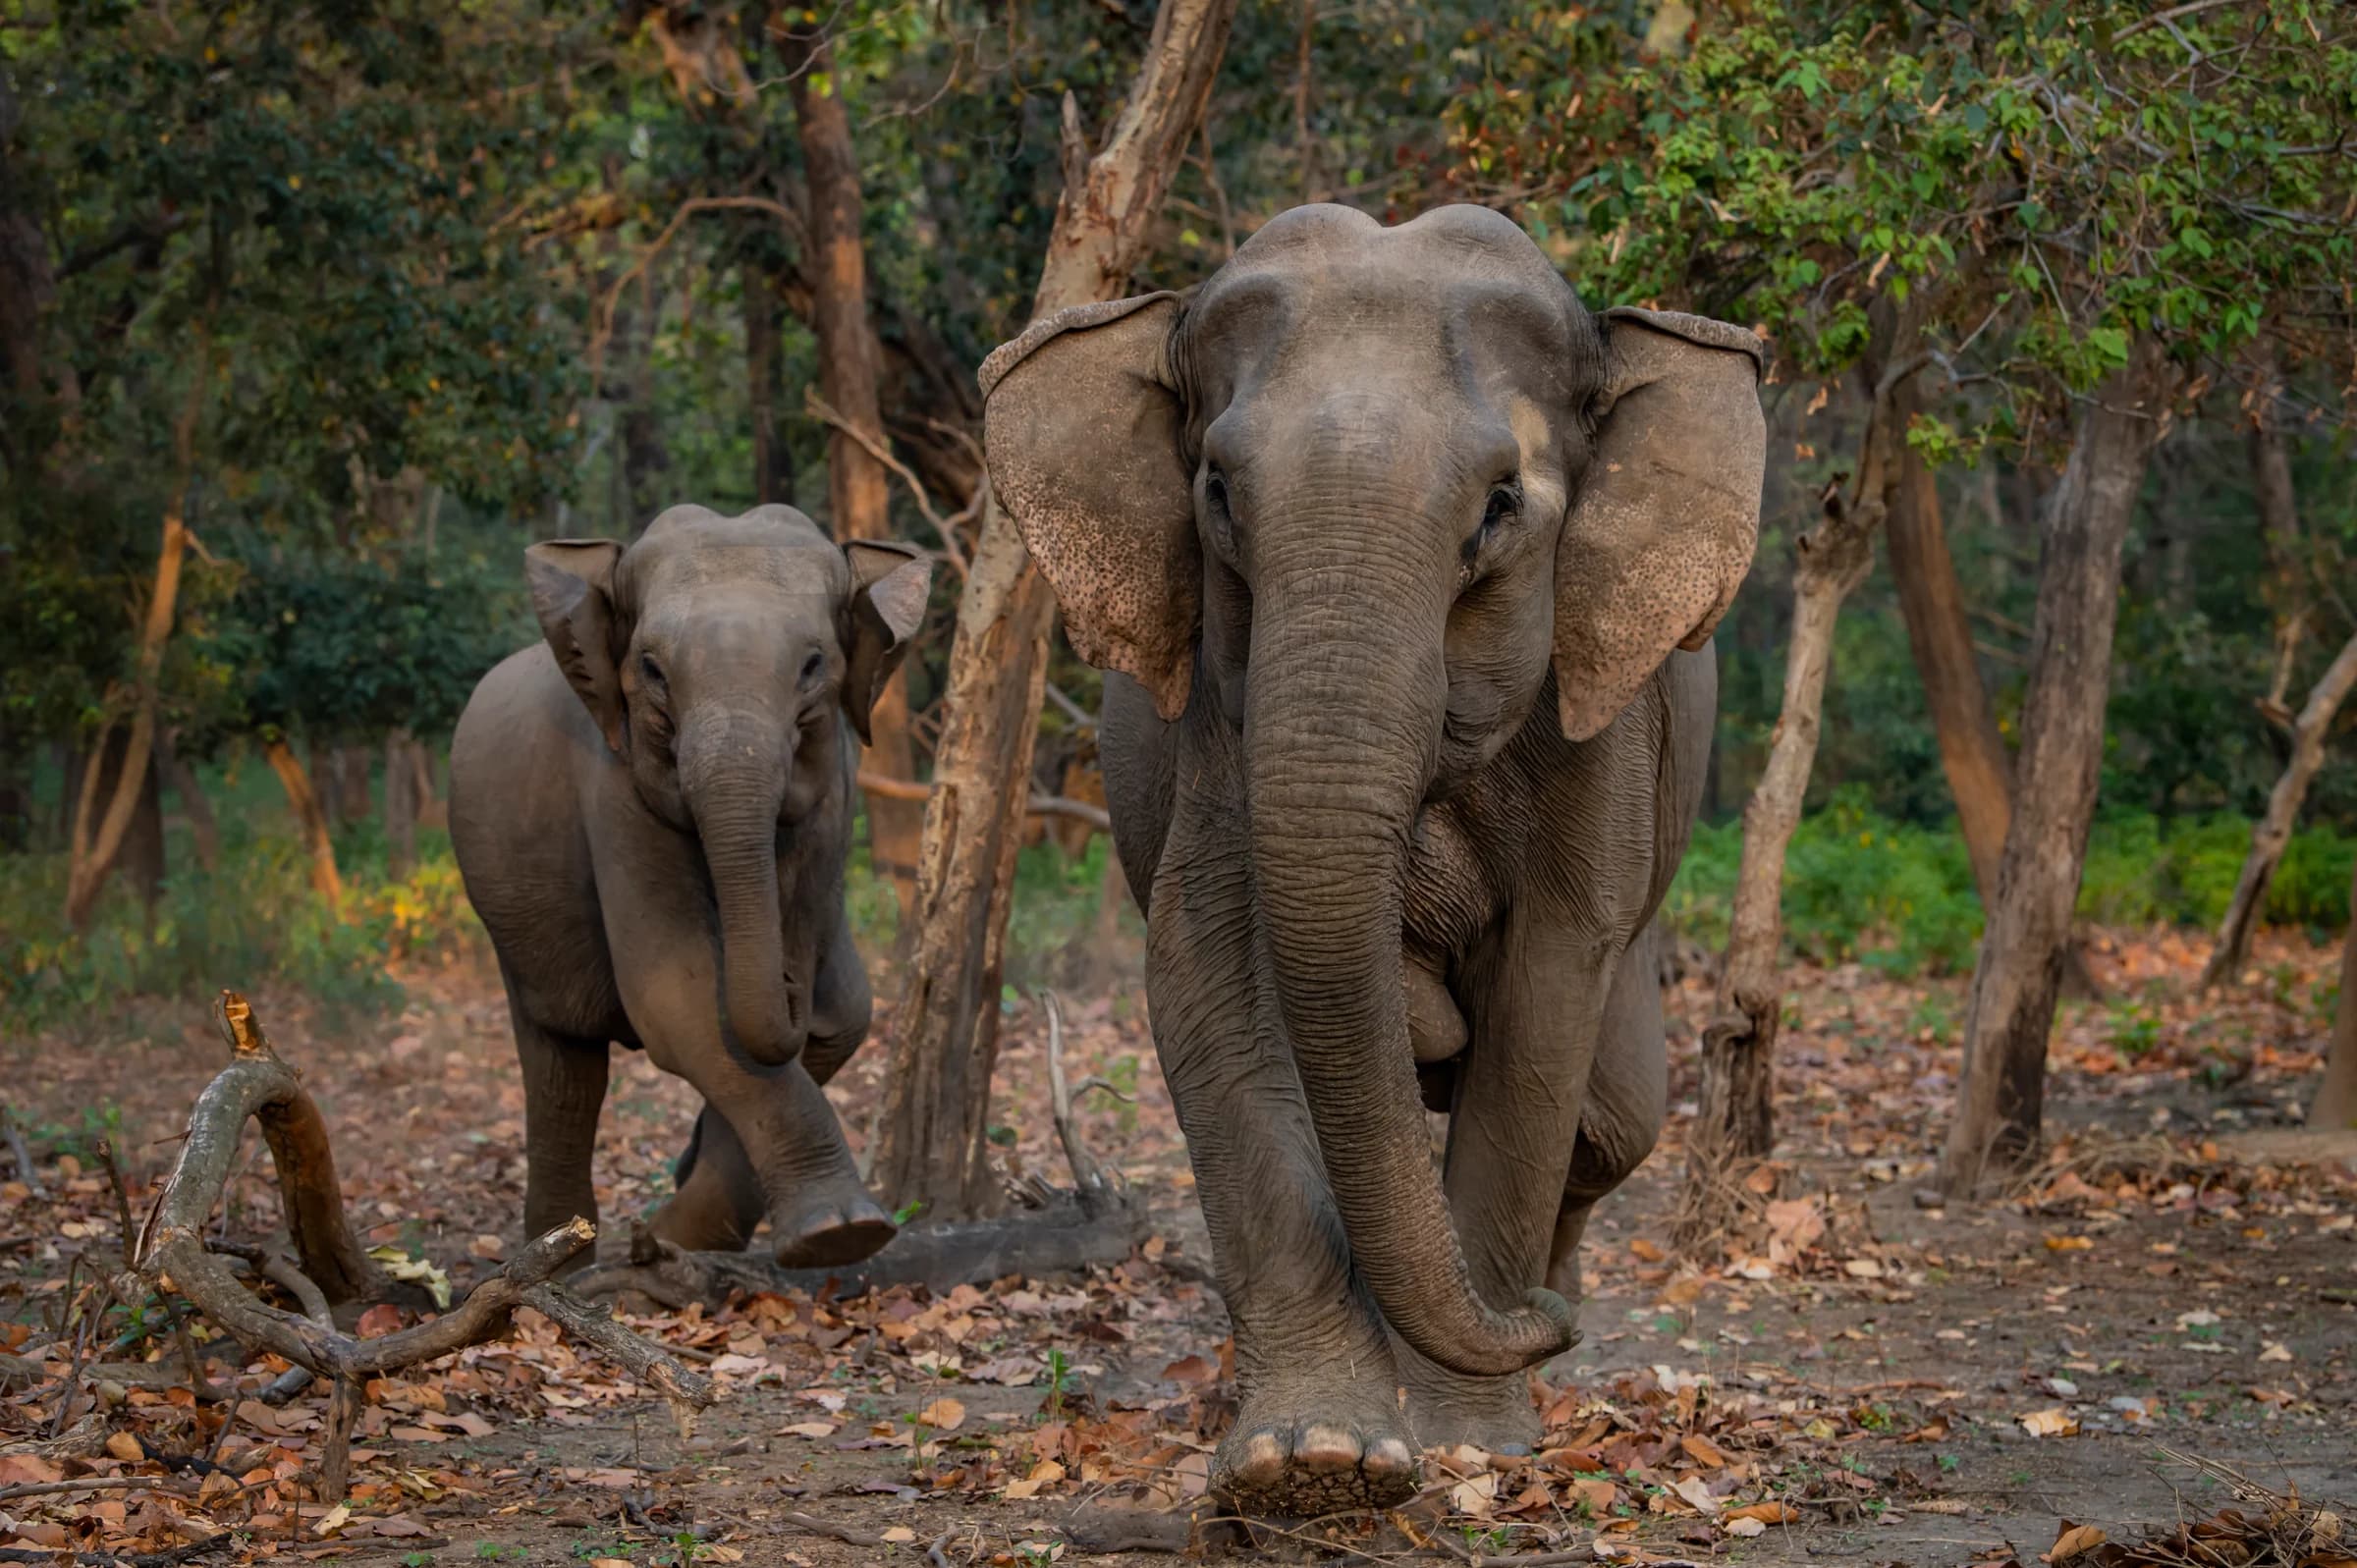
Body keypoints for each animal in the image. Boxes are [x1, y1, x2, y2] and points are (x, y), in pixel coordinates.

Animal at [448, 504, 931, 1269]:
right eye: (651, 668)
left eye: (813, 664)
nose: (790, 982)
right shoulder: (614, 793)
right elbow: (679, 998)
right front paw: (843, 1233)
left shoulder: (835, 800)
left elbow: (834, 1017)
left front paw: (669, 1238)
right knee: (562, 1065)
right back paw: (561, 1263)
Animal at [978, 204, 1763, 1515]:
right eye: (1217, 492)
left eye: (1501, 505)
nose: (1534, 1320)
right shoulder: (1217, 727)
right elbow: (1204, 966)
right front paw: (1311, 1461)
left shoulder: (1599, 736)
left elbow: (1545, 1002)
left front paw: (1473, 1441)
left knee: (1613, 1125)